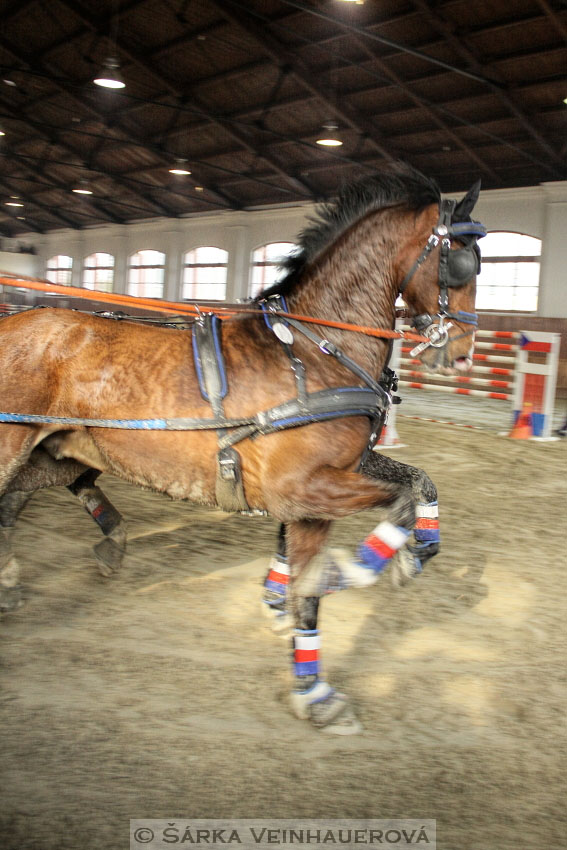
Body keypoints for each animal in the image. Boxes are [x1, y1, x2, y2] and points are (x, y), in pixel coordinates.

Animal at [0, 164, 486, 728]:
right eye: (460, 261)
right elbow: (348, 549)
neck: (317, 349)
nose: (462, 352)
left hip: (58, 449)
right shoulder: (302, 488)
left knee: (16, 502)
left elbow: (418, 485)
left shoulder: (330, 480)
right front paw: (352, 575)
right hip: (16, 446)